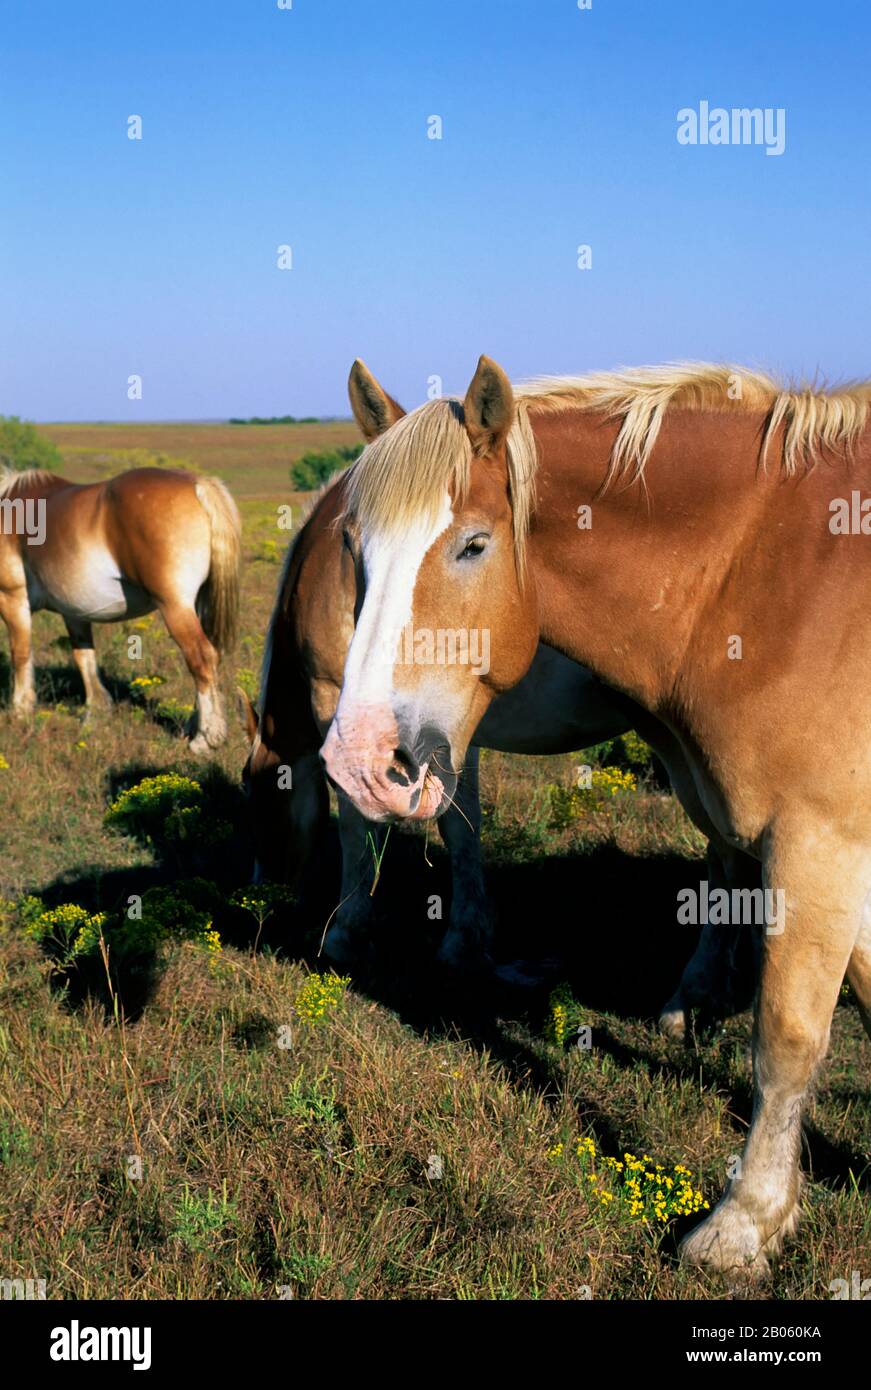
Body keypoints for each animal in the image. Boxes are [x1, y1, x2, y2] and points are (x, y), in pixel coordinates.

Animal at [0, 466, 241, 752]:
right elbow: (84, 658)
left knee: (201, 658)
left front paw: (20, 711)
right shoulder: (74, 611)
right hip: (198, 605)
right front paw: (96, 712)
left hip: (175, 606)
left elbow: (20, 654)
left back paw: (205, 739)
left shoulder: (12, 599)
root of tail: (197, 484)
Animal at [244, 470, 760, 1035]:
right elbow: (461, 828)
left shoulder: (337, 702)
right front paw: (466, 941)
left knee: (727, 858)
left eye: (258, 803)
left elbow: (359, 827)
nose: (260, 897)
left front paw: (348, 932)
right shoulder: (445, 737)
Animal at [320, 355, 871, 1277]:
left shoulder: (820, 844)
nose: (360, 763)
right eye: (352, 550)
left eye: (473, 545)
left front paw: (743, 1224)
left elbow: (786, 1037)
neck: (768, 580)